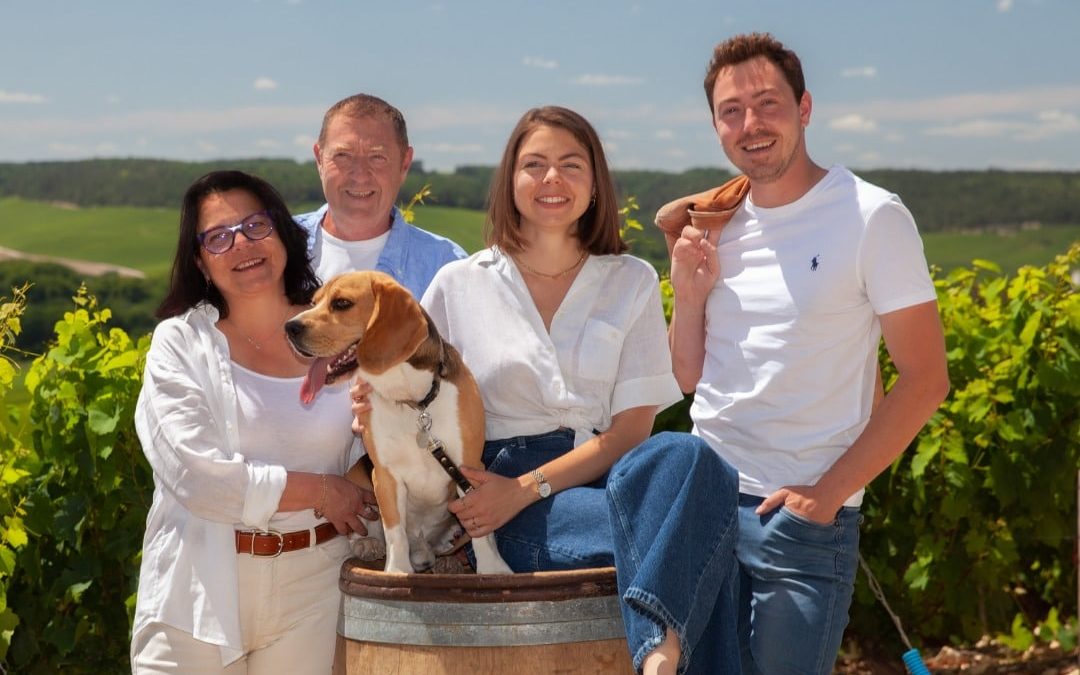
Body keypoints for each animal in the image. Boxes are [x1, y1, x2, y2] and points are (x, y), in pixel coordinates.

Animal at [282, 270, 509, 574]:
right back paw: (369, 545)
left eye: (341, 303)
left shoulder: (468, 467)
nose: (289, 327)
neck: (412, 402)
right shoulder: (385, 475)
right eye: (313, 302)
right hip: (358, 478)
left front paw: (493, 570)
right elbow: (395, 532)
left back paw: (448, 559)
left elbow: (480, 529)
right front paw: (398, 571)